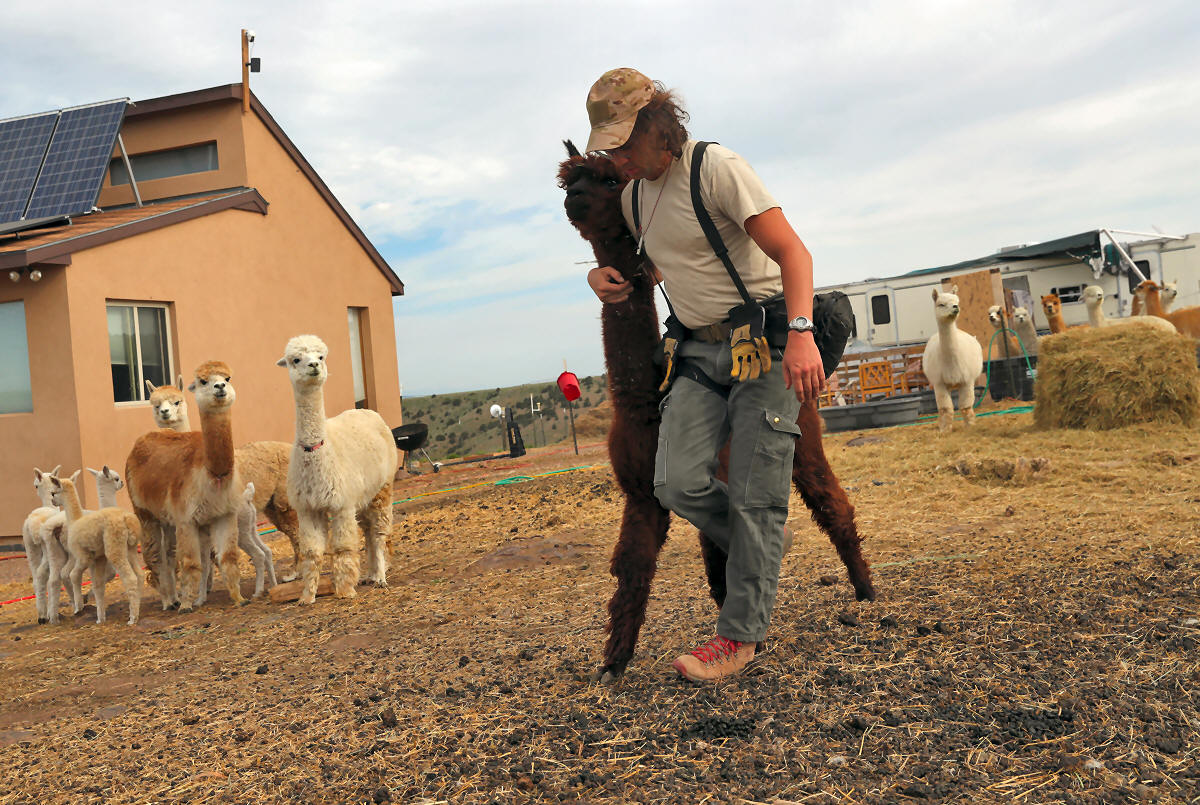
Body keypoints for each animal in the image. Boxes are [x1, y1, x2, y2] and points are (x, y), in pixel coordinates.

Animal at [48, 473, 142, 625]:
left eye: (54, 492)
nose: (53, 501)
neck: (74, 521)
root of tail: (128, 519)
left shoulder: (83, 556)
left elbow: (74, 575)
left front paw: (78, 606)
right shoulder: (98, 558)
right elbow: (98, 585)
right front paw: (100, 618)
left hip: (114, 548)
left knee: (130, 578)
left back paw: (132, 618)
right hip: (131, 549)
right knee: (140, 574)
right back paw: (137, 608)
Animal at [277, 335, 398, 605]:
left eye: (321, 356)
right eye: (295, 359)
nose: (314, 366)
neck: (317, 452)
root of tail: (366, 410)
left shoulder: (341, 504)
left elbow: (342, 547)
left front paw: (344, 591)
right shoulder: (308, 508)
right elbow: (312, 552)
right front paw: (307, 596)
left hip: (382, 488)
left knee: (379, 532)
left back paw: (381, 577)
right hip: (361, 496)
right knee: (368, 531)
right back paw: (370, 575)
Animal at [922, 286, 984, 432]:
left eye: (957, 301)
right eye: (941, 304)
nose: (955, 307)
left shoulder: (967, 381)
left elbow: (966, 406)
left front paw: (970, 427)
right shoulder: (939, 382)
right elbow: (945, 408)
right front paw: (945, 430)